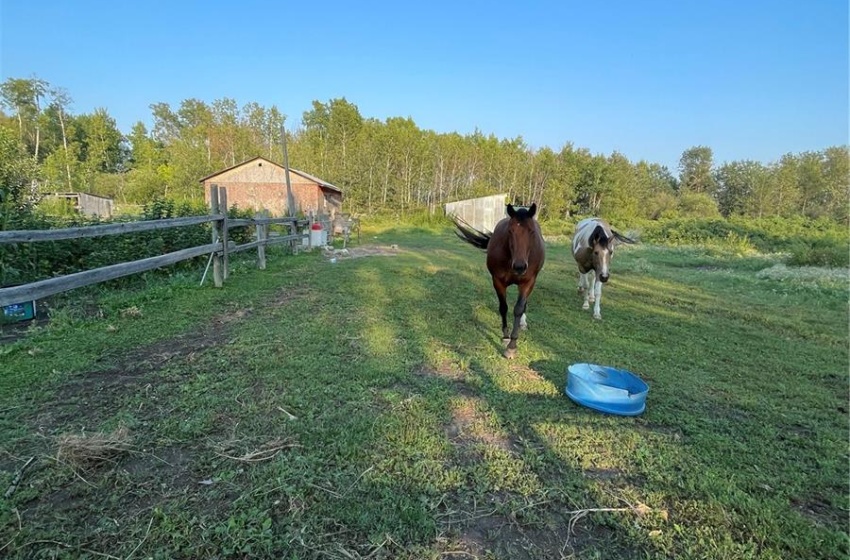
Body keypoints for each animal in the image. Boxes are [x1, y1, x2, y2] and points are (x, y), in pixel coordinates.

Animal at [450, 202, 544, 358]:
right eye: (510, 231)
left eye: (531, 231)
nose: (519, 266)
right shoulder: (498, 281)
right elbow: (503, 307)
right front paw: (506, 337)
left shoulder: (528, 282)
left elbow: (518, 309)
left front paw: (512, 346)